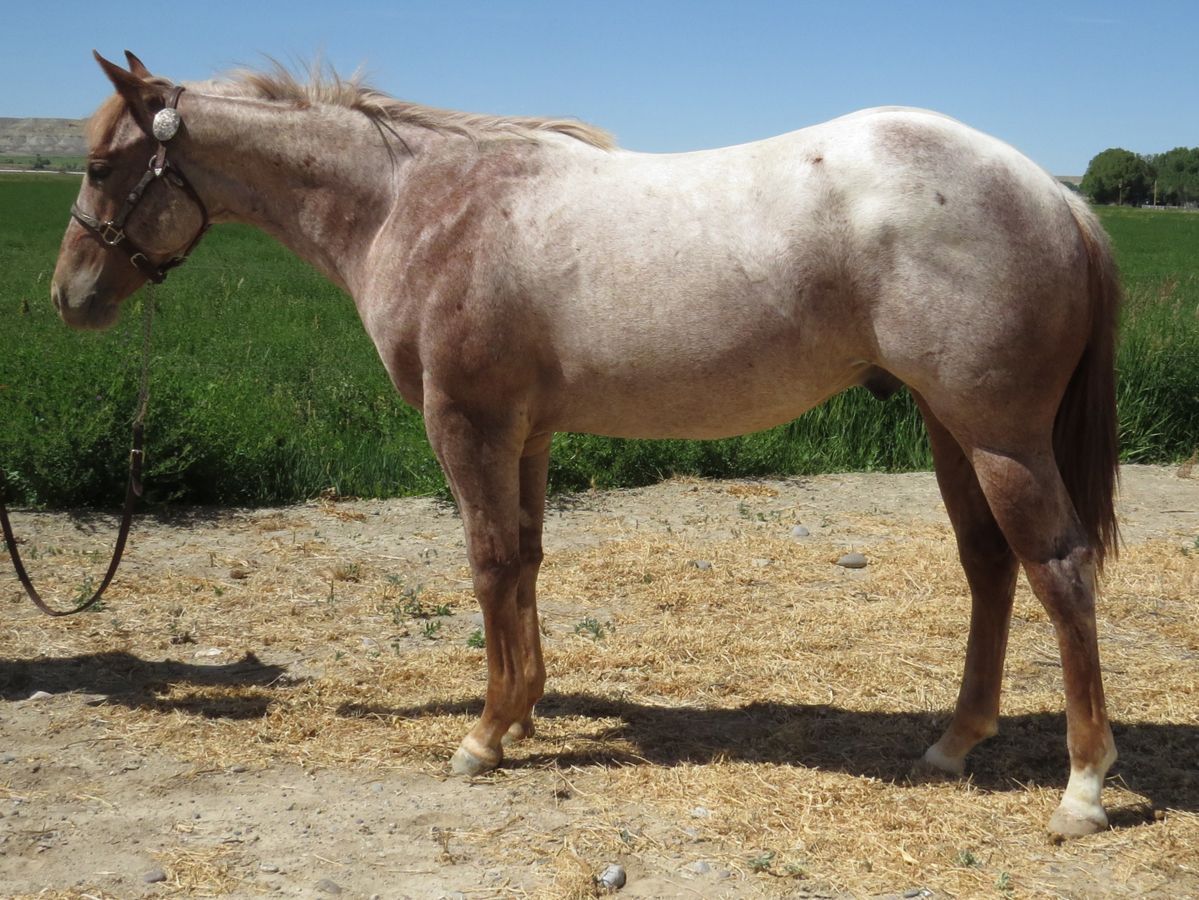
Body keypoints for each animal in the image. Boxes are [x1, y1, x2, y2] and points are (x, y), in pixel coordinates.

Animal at [52, 51, 1121, 838]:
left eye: (102, 168)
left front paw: (484, 737)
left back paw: (1080, 789)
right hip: (950, 429)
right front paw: (525, 706)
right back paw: (953, 743)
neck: (414, 203)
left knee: (1058, 569)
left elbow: (487, 562)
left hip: (998, 435)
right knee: (988, 566)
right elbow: (525, 559)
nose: (70, 298)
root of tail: (1053, 193)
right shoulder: (526, 434)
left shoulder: (467, 423)